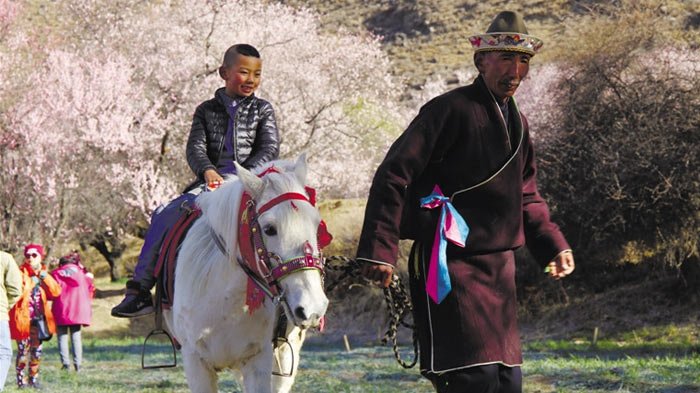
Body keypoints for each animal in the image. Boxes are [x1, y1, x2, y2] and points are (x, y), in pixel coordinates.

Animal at [163, 155, 328, 390]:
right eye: (269, 229)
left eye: (317, 225)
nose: (313, 307)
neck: (225, 299)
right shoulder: (195, 361)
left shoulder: (259, 359)